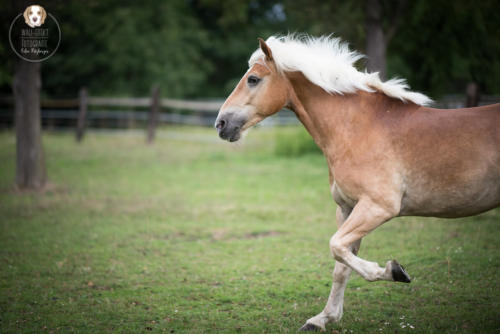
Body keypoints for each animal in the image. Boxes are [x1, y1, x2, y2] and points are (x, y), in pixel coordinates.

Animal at [214, 35, 500, 330]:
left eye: (253, 79)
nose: (221, 124)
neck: (358, 128)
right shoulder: (348, 208)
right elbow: (341, 264)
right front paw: (322, 319)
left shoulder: (377, 207)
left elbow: (336, 247)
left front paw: (394, 271)